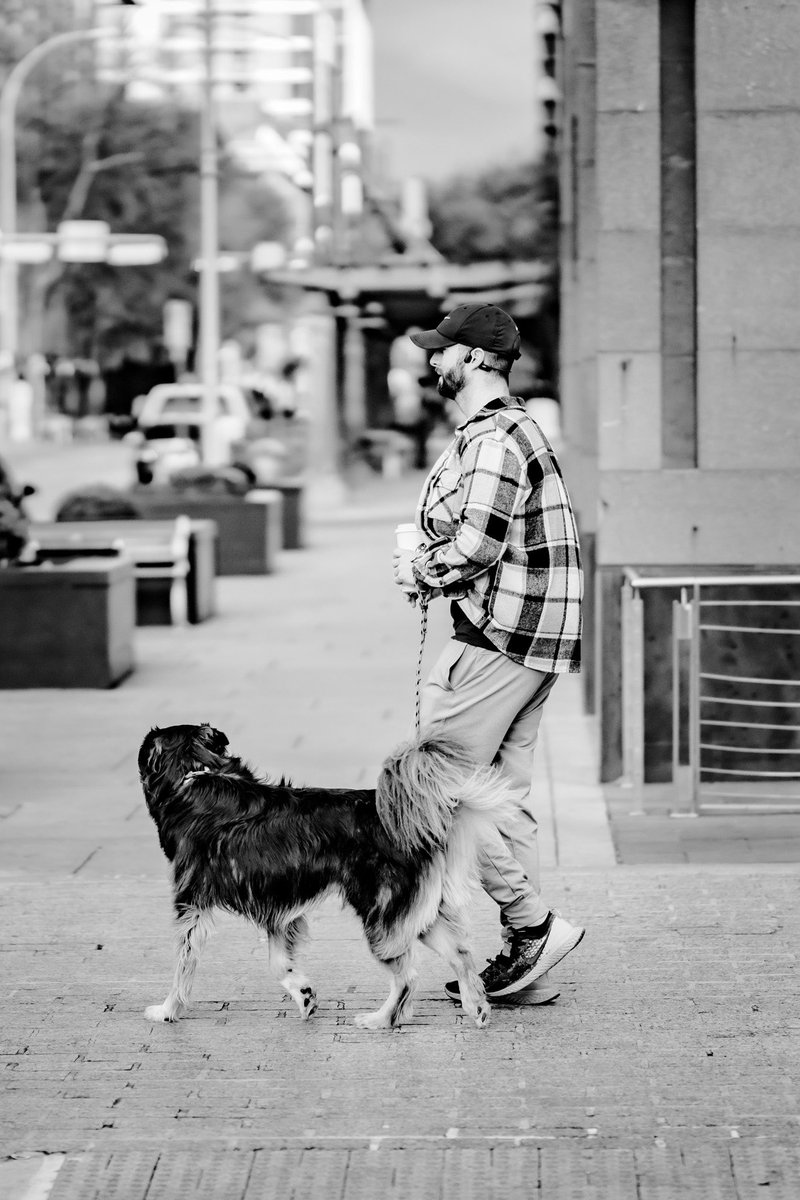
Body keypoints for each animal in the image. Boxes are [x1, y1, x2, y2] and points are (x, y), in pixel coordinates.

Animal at [140, 720, 515, 1032]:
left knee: (407, 975)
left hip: (380, 915)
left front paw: (168, 1010)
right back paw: (477, 1007)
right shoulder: (277, 910)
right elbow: (279, 965)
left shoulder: (192, 903)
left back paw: (381, 1019)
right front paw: (304, 995)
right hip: (413, 913)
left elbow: (183, 965)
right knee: (459, 954)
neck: (195, 774)